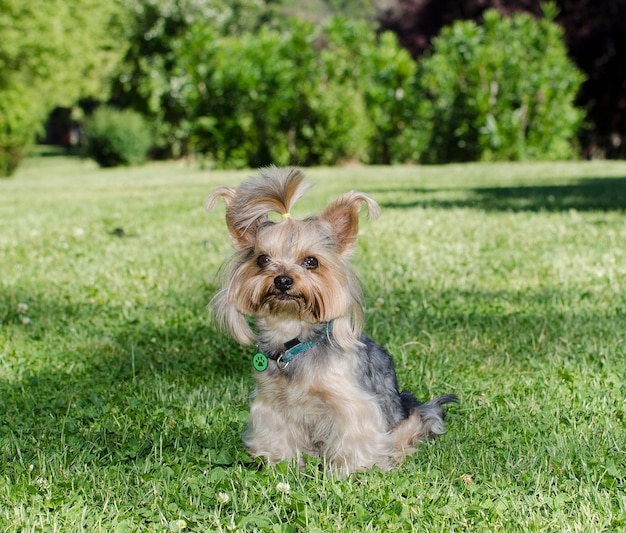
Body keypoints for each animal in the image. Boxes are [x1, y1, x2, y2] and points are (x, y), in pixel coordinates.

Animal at [205, 167, 454, 474]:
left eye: (311, 261)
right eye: (263, 259)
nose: (283, 280)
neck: (294, 340)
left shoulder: (351, 403)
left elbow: (353, 437)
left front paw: (351, 471)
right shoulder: (271, 404)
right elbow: (278, 437)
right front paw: (282, 463)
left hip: (410, 417)